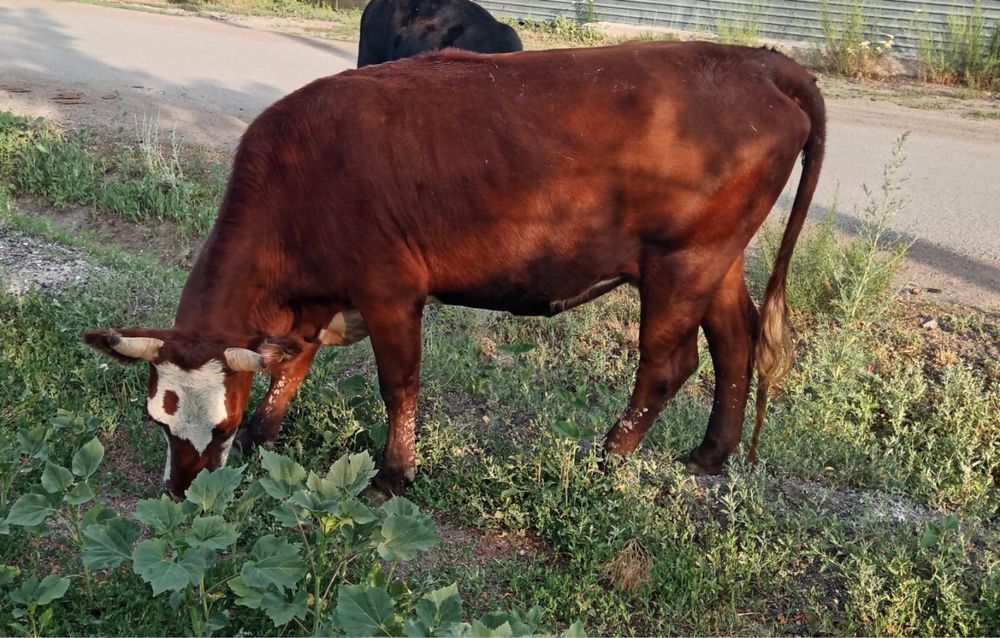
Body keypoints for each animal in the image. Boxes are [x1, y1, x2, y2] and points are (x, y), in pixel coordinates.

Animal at [84, 41, 825, 499]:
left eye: (221, 427)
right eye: (158, 422)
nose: (184, 493)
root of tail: (758, 62)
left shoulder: (388, 290)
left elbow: (398, 385)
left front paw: (394, 475)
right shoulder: (317, 301)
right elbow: (291, 366)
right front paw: (270, 435)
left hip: (681, 262)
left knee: (668, 365)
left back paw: (606, 456)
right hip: (716, 259)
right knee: (735, 342)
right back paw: (710, 454)